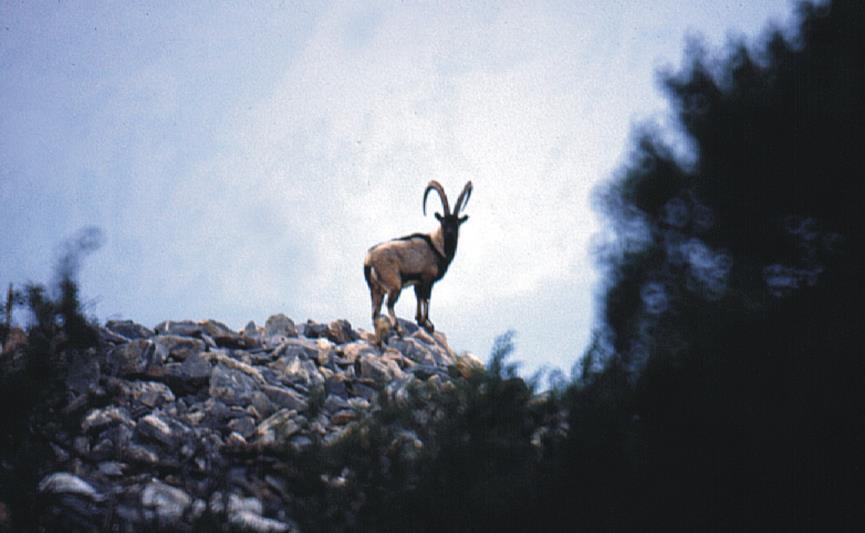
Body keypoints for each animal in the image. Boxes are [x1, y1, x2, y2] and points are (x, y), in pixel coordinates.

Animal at [362, 181, 472, 334]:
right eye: (443, 222)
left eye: (457, 223)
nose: (450, 234)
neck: (436, 246)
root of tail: (369, 259)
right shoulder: (427, 278)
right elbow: (426, 299)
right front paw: (428, 324)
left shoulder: (418, 282)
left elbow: (418, 297)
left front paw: (419, 320)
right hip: (394, 284)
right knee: (389, 304)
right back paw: (398, 328)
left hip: (375, 289)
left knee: (375, 313)